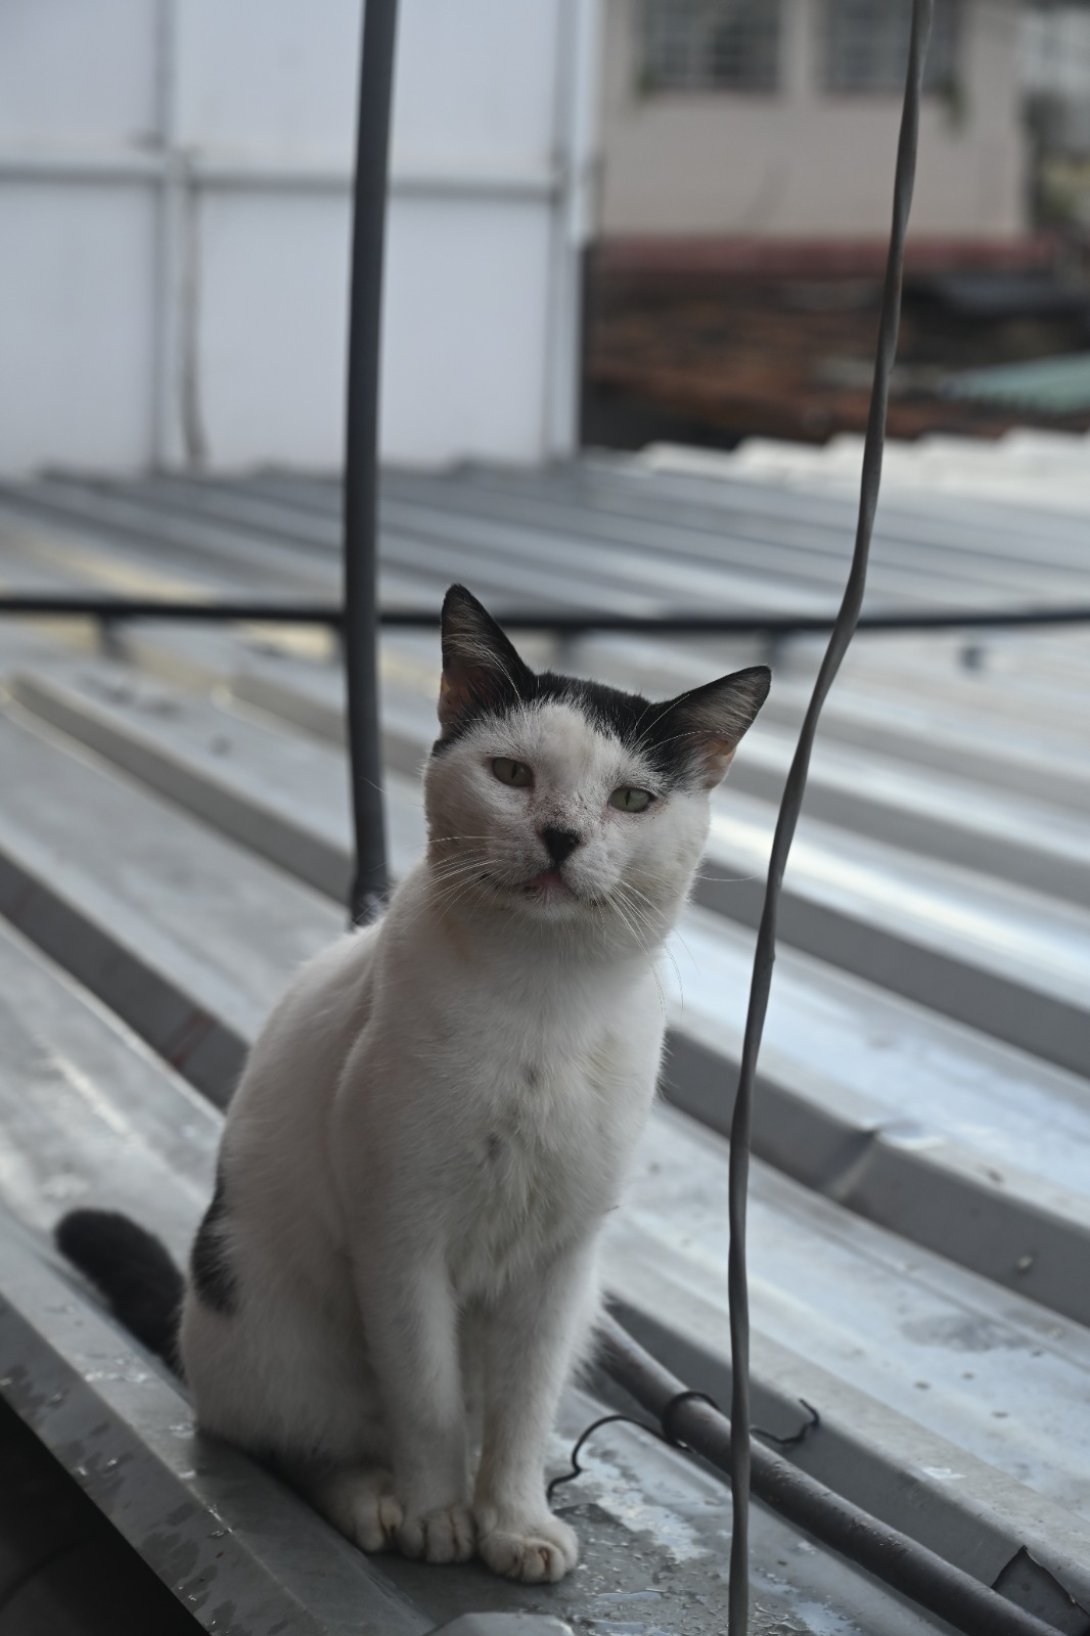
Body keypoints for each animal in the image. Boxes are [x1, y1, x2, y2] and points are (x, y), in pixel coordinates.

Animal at [59, 588, 769, 1583]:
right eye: (511, 773)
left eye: (632, 798)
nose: (561, 836)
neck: (541, 1007)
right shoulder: (399, 1240)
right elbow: (425, 1400)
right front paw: (440, 1519)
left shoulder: (561, 1264)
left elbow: (521, 1415)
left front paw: (513, 1524)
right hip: (275, 1326)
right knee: (297, 1441)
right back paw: (376, 1499)